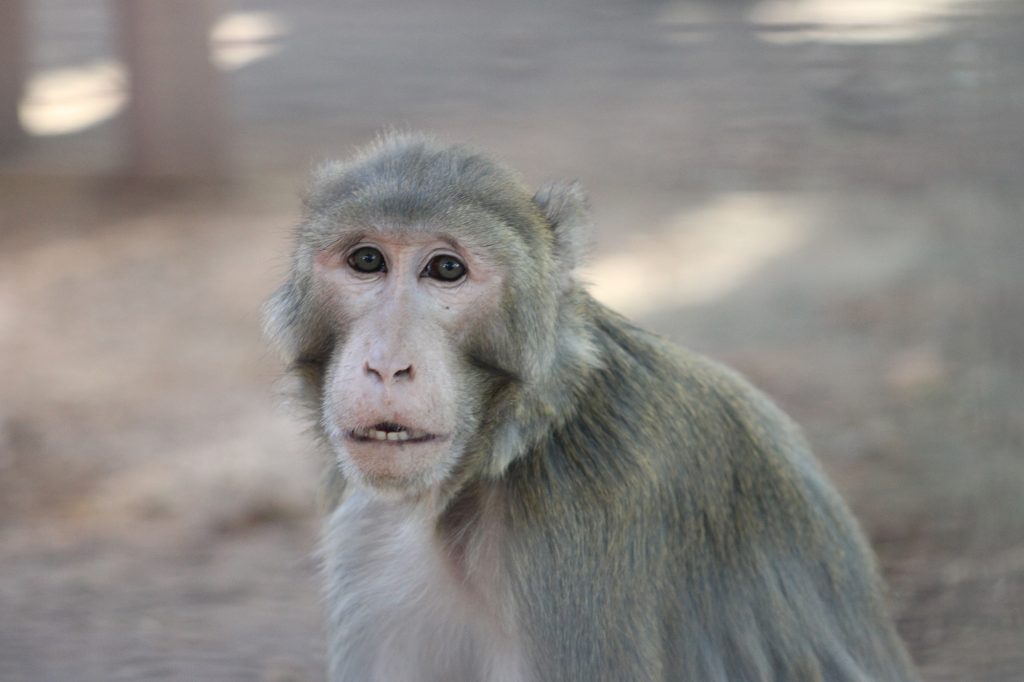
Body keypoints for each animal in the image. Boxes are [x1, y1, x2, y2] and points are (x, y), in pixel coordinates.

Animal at [264, 133, 921, 679]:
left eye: (446, 269)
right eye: (367, 260)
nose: (386, 364)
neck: (518, 441)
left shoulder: (577, 521)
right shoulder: (358, 518)